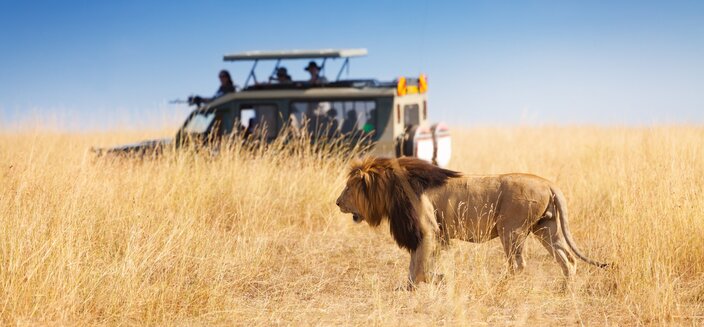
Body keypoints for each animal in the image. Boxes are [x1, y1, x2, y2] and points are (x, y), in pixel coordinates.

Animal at [334, 158, 604, 288]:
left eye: (348, 188)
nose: (337, 202)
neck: (390, 189)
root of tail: (548, 182)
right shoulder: (429, 234)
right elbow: (415, 265)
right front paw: (412, 286)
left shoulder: (428, 230)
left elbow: (420, 267)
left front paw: (436, 280)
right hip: (546, 229)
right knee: (568, 259)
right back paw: (565, 290)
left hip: (511, 230)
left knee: (518, 264)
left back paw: (500, 286)